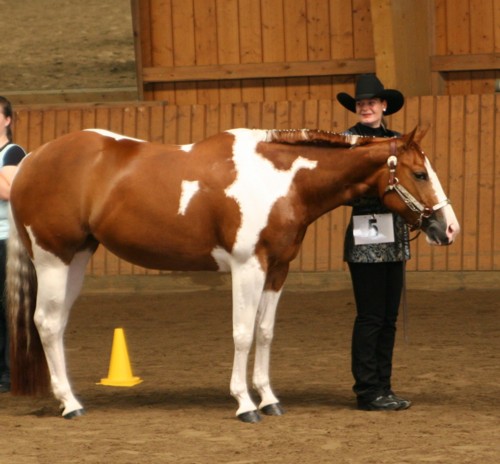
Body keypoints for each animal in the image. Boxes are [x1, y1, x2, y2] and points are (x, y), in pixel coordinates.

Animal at [7, 126, 460, 420]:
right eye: (419, 173)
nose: (449, 228)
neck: (280, 181)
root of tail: (32, 160)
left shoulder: (278, 269)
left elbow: (264, 332)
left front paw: (269, 399)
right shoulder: (248, 267)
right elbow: (242, 333)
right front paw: (244, 404)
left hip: (77, 259)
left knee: (56, 324)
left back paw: (70, 397)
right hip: (53, 260)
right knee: (47, 323)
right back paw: (71, 405)